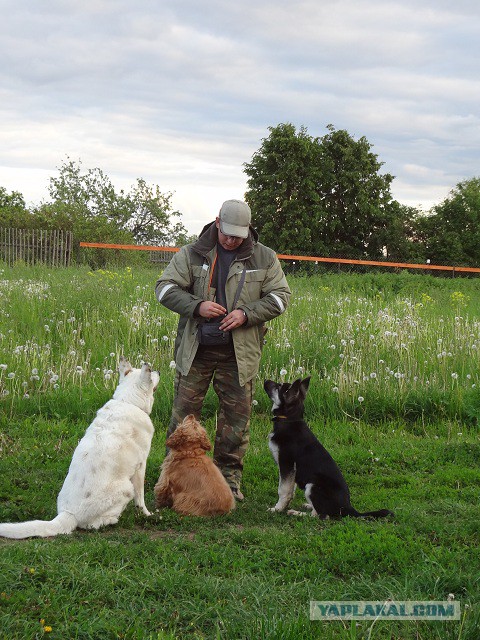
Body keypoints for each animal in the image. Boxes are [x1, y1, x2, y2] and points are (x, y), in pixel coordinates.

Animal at [0, 358, 160, 536]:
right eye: (151, 374)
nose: (159, 371)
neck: (128, 402)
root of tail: (68, 514)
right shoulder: (141, 466)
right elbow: (141, 497)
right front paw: (146, 514)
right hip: (126, 487)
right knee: (93, 524)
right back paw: (112, 520)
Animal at [262, 376, 394, 520]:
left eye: (278, 387)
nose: (265, 380)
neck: (289, 418)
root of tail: (347, 508)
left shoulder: (287, 463)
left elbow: (283, 490)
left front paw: (277, 509)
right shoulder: (291, 471)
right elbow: (291, 489)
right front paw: (284, 506)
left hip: (313, 485)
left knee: (321, 516)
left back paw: (298, 513)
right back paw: (308, 506)